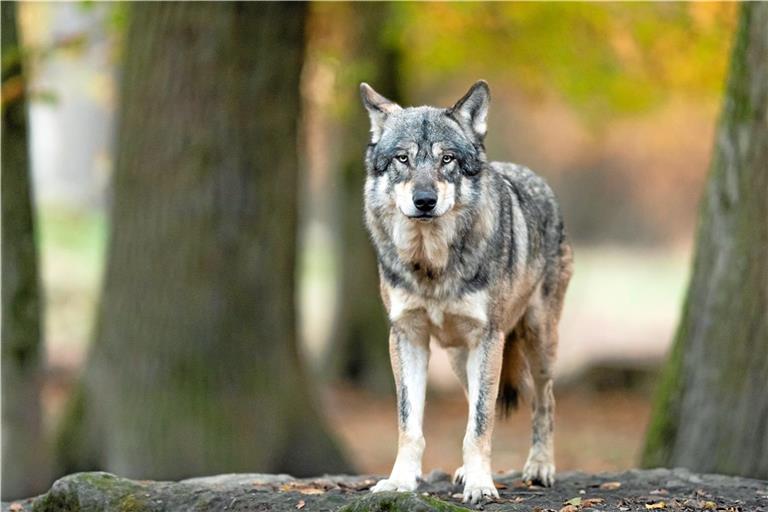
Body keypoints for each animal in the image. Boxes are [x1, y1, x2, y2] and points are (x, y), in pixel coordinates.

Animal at [359, 80, 573, 503]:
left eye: (447, 160)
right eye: (403, 159)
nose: (425, 201)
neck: (432, 266)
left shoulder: (487, 338)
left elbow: (480, 423)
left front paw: (481, 485)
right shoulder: (406, 337)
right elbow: (410, 424)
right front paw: (400, 481)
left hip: (538, 343)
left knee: (545, 400)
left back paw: (540, 467)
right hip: (461, 358)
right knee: (475, 398)